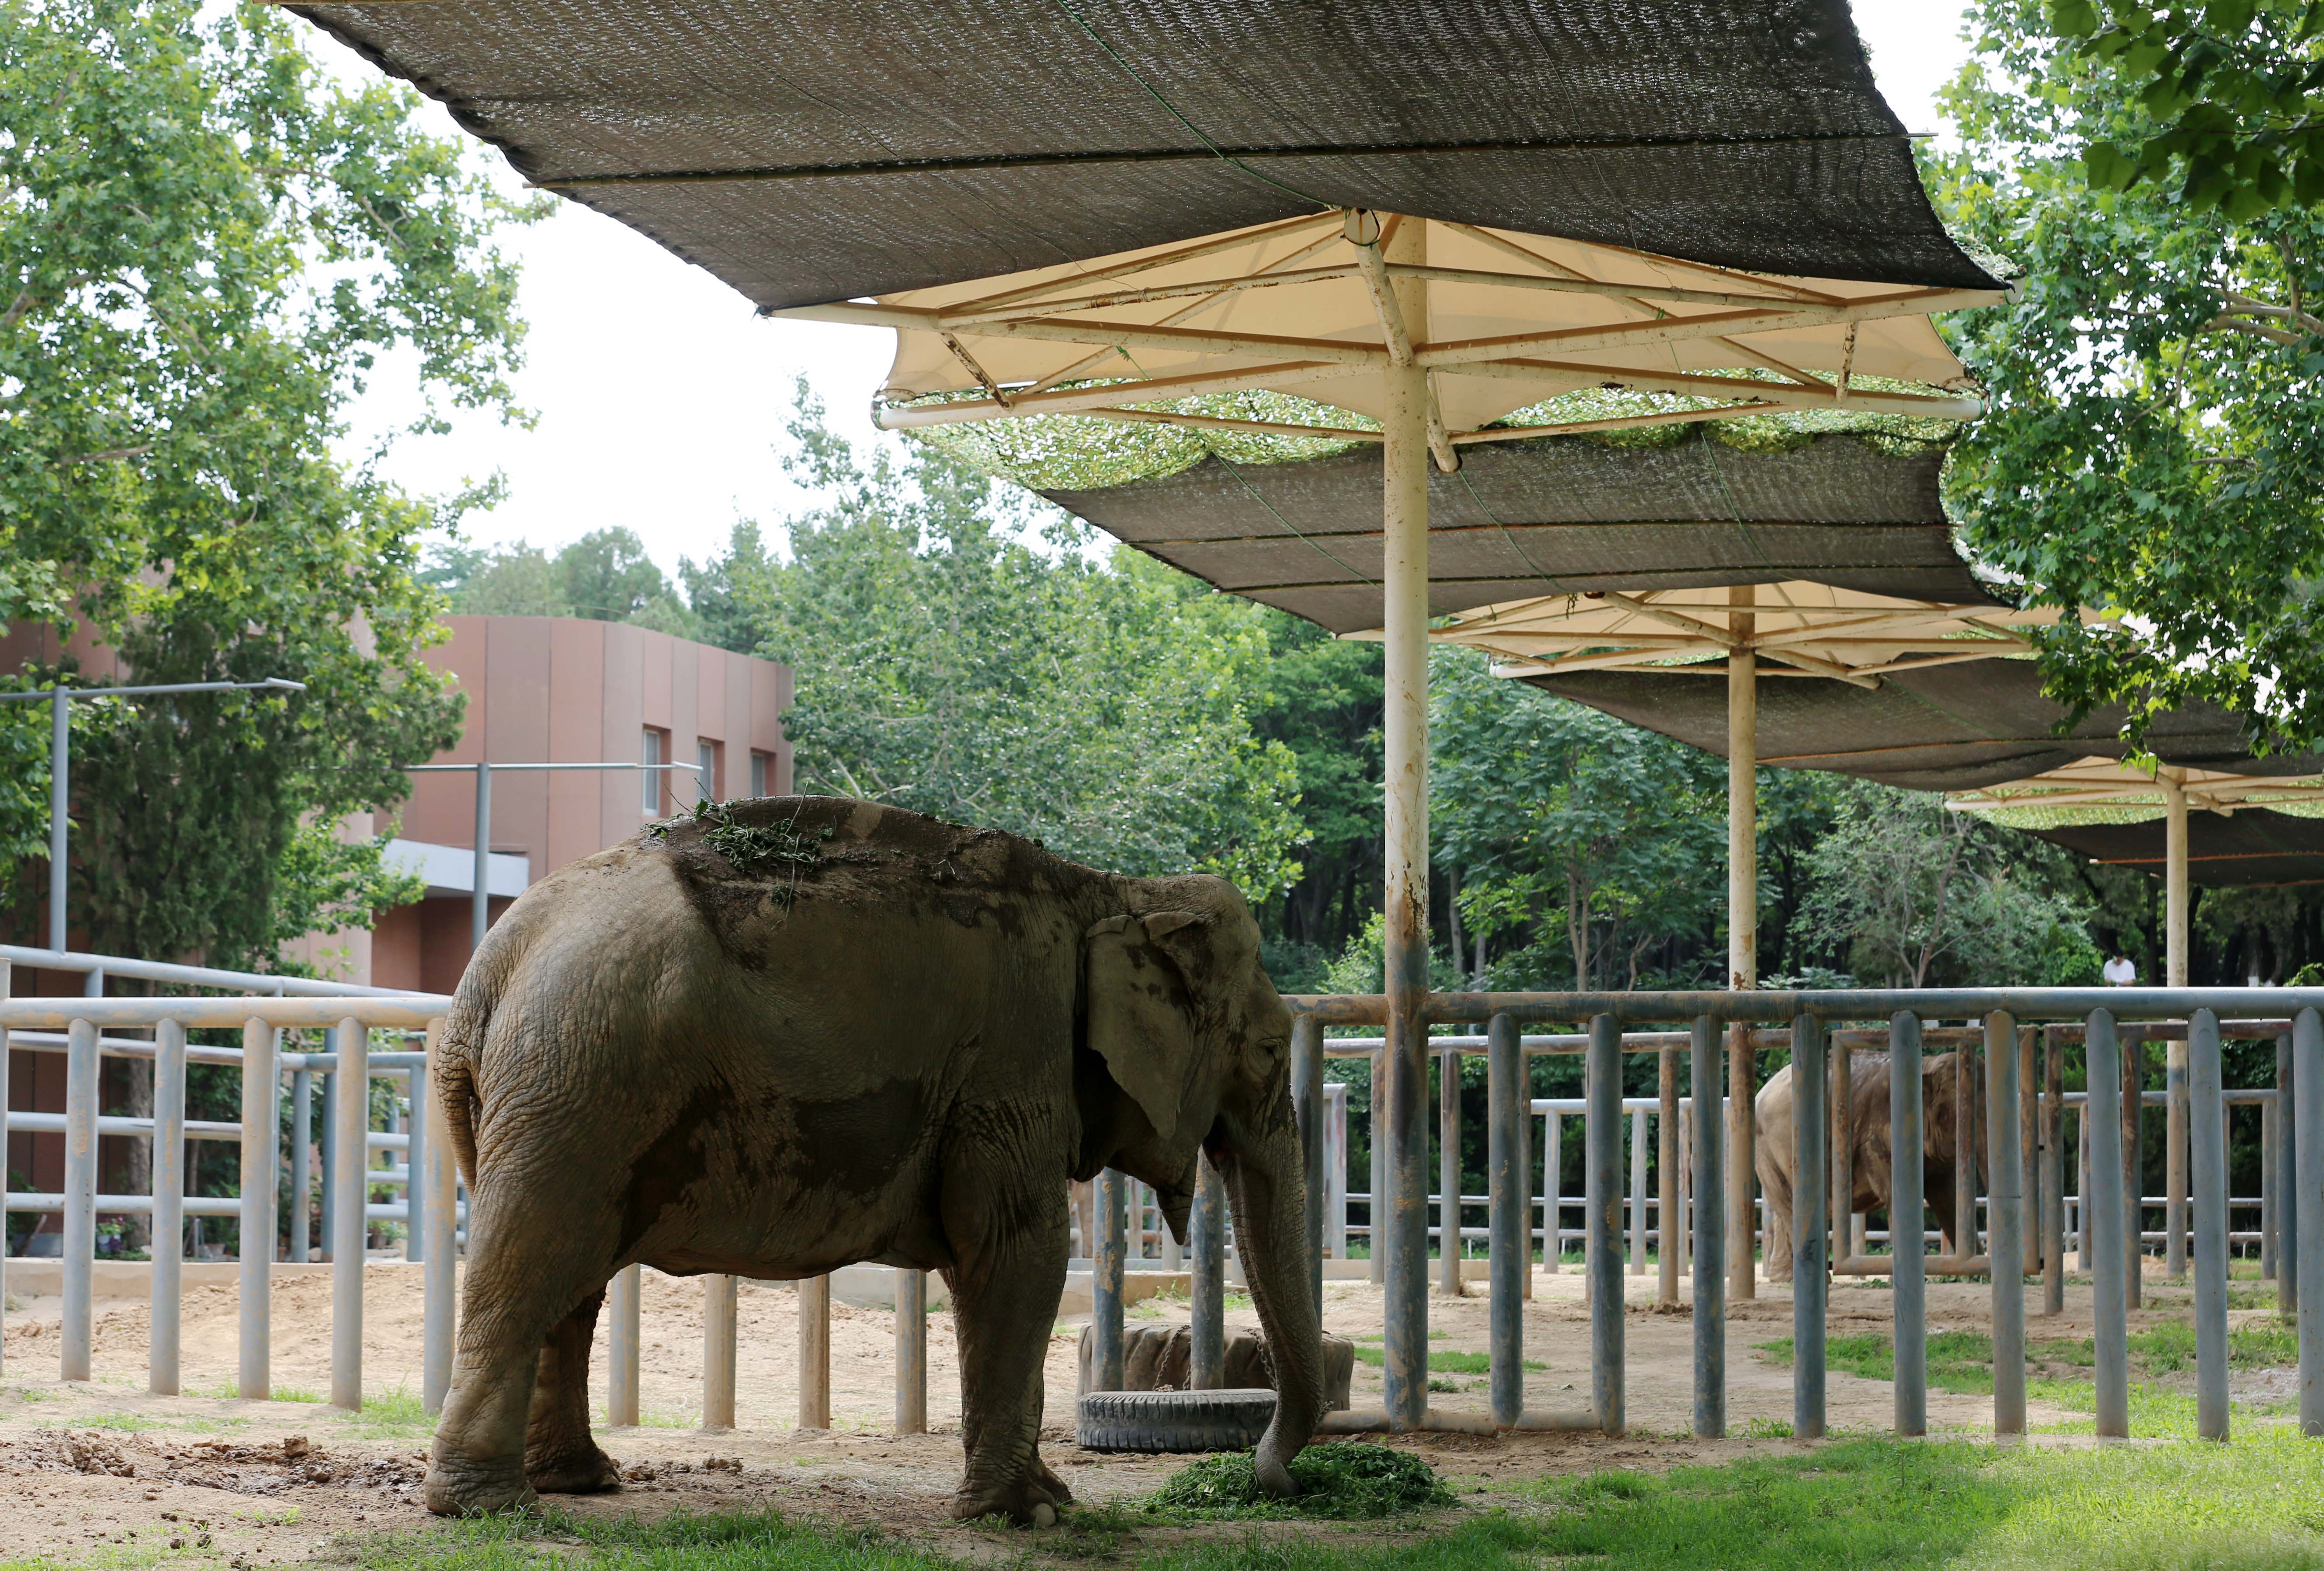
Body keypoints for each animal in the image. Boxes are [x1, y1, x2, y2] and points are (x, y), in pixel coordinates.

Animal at [423, 799, 1329, 1524]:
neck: (1107, 890)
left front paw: (1044, 1499)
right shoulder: (1014, 1060)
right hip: (582, 1073)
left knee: (571, 1280)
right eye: (1269, 1047)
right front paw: (1026, 1514)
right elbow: (1019, 1252)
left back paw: (579, 1481)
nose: (1277, 1482)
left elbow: (992, 1263)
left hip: (552, 1093)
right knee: (532, 1263)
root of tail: (488, 969)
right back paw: (488, 1505)